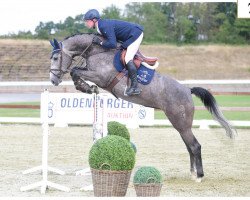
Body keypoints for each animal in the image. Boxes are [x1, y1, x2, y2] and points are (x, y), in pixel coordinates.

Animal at [49, 33, 236, 182]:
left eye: (56, 58)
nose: (53, 80)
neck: (97, 51)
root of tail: (187, 90)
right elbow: (76, 70)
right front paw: (85, 87)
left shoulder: (101, 77)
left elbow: (74, 71)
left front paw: (86, 87)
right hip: (180, 124)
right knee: (189, 146)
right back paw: (192, 174)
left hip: (181, 122)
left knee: (195, 146)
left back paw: (199, 176)